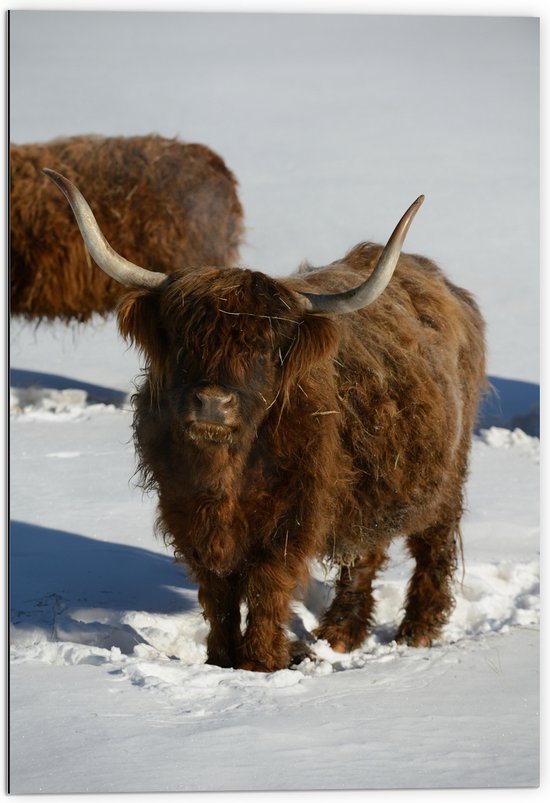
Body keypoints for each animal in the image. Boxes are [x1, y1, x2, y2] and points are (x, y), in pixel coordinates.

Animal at [45, 170, 490, 672]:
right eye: (183, 341)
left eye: (262, 348)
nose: (212, 403)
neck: (225, 476)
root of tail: (441, 283)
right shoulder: (187, 512)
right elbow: (217, 591)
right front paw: (221, 659)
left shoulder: (292, 517)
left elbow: (265, 585)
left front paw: (260, 662)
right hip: (368, 485)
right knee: (363, 552)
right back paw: (340, 635)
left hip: (446, 473)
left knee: (432, 544)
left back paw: (416, 632)